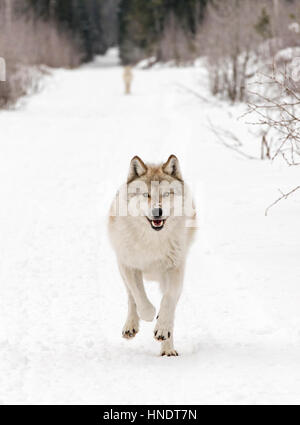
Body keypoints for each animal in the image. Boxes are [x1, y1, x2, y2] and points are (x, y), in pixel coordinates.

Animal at [108, 155, 197, 354]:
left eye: (166, 194)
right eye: (146, 195)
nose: (157, 211)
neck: (153, 240)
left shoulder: (176, 269)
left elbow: (168, 300)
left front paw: (162, 328)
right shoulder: (130, 266)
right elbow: (139, 297)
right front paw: (149, 315)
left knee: (170, 307)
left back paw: (168, 349)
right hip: (121, 267)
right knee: (131, 297)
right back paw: (131, 326)